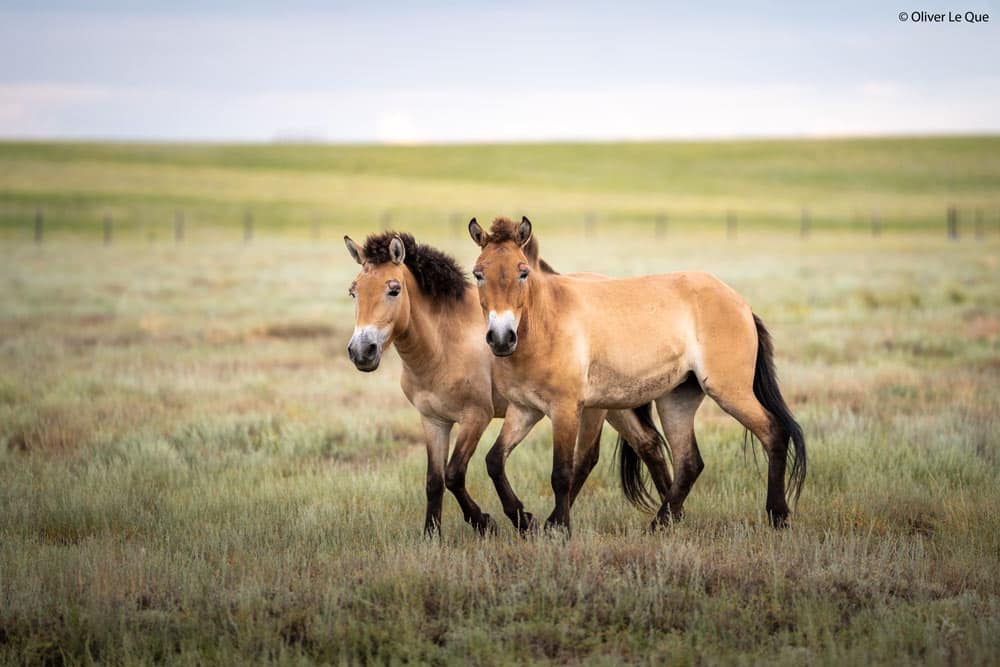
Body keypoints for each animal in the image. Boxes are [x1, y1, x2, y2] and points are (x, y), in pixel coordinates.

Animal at [343, 230, 665, 536]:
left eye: (393, 290)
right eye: (353, 291)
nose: (362, 351)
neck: (444, 340)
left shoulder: (476, 416)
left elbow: (454, 474)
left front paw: (491, 522)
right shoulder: (433, 420)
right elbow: (434, 481)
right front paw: (431, 535)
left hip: (593, 409)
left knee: (587, 460)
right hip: (615, 403)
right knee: (648, 445)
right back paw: (666, 516)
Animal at [467, 216, 806, 533]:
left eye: (523, 272)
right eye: (478, 274)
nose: (501, 338)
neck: (544, 323)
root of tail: (741, 304)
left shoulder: (567, 410)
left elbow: (564, 471)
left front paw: (557, 526)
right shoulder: (525, 409)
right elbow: (494, 461)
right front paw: (523, 520)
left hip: (729, 391)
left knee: (774, 432)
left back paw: (778, 515)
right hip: (677, 400)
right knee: (689, 462)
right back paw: (660, 523)